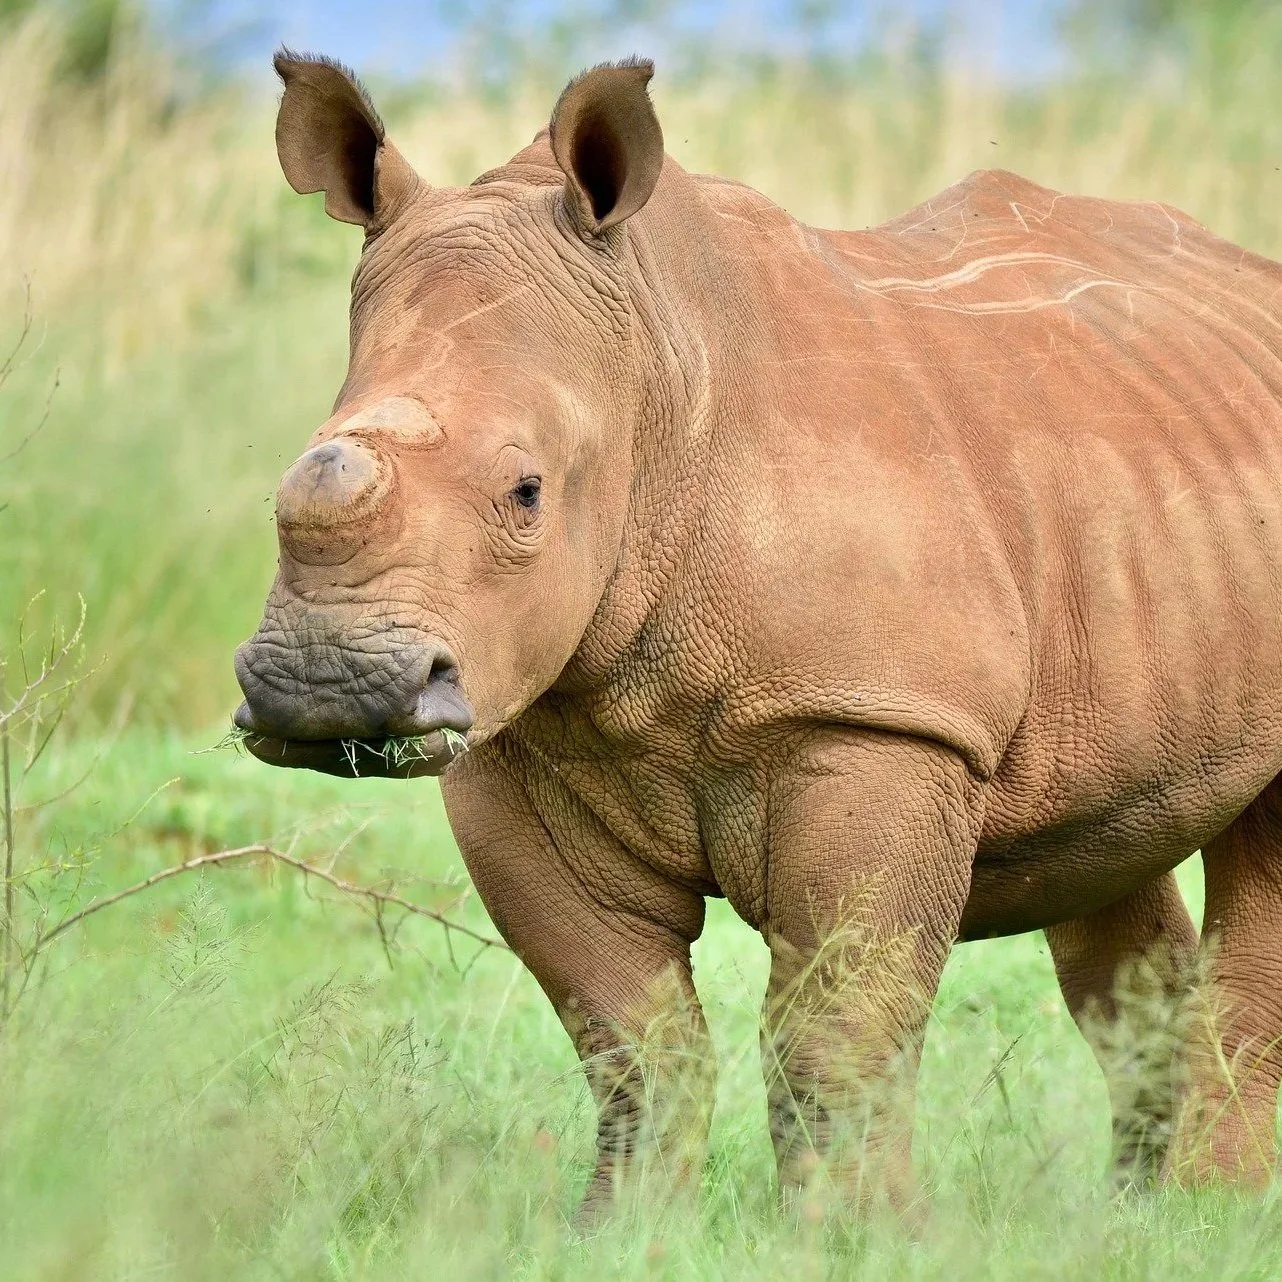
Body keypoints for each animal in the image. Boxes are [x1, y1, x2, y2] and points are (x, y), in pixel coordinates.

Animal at [235, 51, 1282, 1215]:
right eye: (293, 473)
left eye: (526, 492)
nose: (325, 689)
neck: (653, 377)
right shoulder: (514, 739)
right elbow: (628, 1035)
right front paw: (623, 1228)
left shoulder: (874, 719)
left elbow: (837, 1027)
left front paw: (854, 1232)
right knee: (1108, 843)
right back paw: (1139, 1213)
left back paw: (1211, 1211)